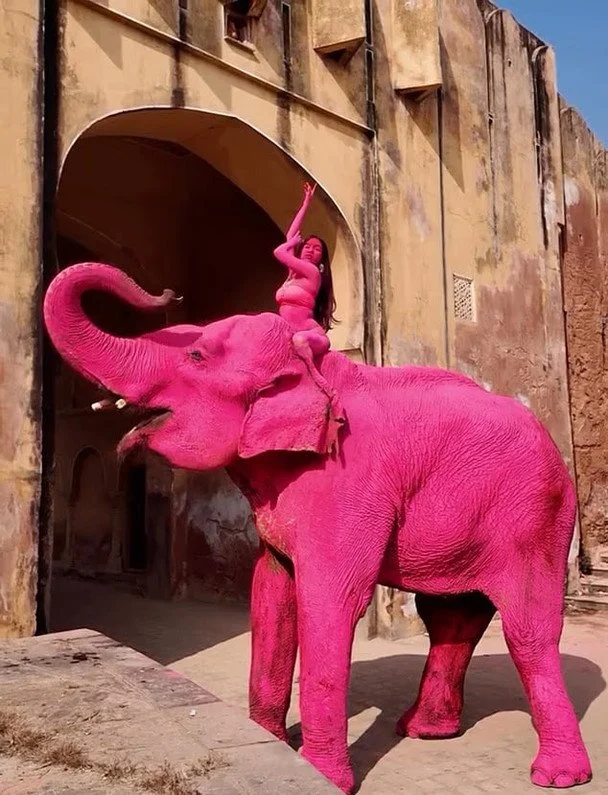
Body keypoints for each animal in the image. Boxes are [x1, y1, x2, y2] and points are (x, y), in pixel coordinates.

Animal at [43, 262, 592, 793]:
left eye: (196, 356)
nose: (167, 291)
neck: (312, 369)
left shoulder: (346, 482)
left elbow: (330, 599)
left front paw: (321, 776)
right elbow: (270, 590)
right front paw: (267, 744)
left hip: (535, 516)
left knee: (527, 629)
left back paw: (557, 776)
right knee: (450, 617)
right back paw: (424, 730)